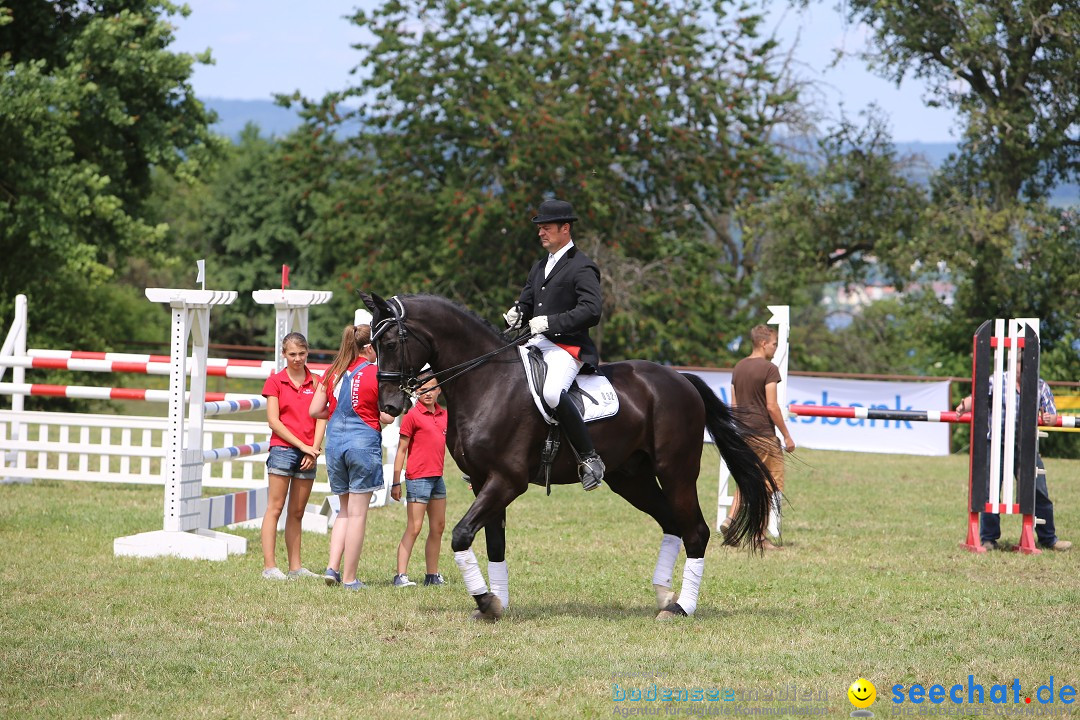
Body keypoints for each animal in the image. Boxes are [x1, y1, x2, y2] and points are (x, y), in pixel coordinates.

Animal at [365, 293, 777, 621]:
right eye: (372, 343)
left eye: (391, 342)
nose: (389, 406)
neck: (487, 382)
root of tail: (680, 379)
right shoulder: (483, 482)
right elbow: (494, 543)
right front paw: (497, 604)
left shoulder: (507, 481)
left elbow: (462, 534)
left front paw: (486, 602)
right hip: (632, 478)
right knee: (672, 523)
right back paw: (664, 594)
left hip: (677, 471)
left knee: (696, 530)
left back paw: (680, 608)